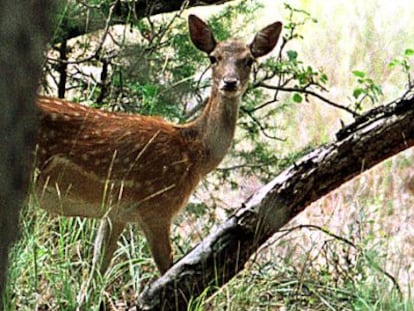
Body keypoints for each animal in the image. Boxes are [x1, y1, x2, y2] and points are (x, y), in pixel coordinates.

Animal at [34, 14, 282, 276]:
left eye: (249, 60)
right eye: (214, 57)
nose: (230, 82)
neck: (194, 153)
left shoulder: (117, 213)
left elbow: (96, 274)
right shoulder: (158, 207)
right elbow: (168, 271)